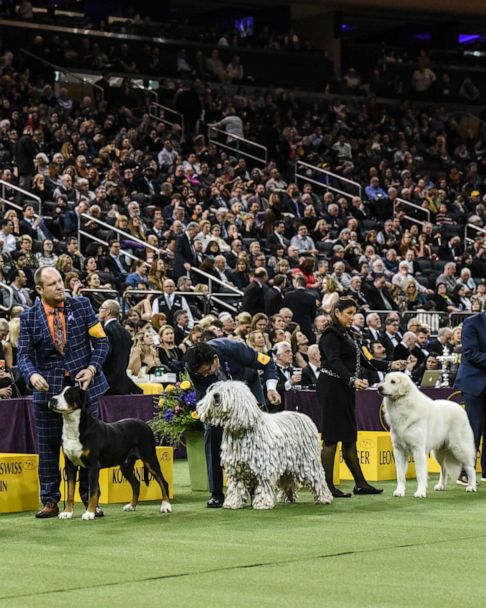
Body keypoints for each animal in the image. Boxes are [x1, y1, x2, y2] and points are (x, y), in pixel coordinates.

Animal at [49, 388, 171, 520]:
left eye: (69, 395)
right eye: (59, 392)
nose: (52, 400)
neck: (74, 428)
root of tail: (145, 424)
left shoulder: (93, 466)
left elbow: (93, 492)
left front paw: (89, 513)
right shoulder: (70, 466)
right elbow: (70, 492)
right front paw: (67, 512)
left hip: (149, 458)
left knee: (163, 482)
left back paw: (166, 506)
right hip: (126, 465)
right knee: (136, 484)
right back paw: (131, 506)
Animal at [196, 380, 332, 508]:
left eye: (228, 390)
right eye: (217, 389)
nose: (216, 395)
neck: (240, 430)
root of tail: (304, 417)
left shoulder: (263, 467)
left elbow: (263, 484)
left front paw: (262, 503)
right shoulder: (235, 467)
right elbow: (236, 486)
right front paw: (233, 503)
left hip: (308, 461)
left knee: (318, 479)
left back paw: (324, 498)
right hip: (289, 465)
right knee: (288, 481)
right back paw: (287, 498)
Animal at [378, 370, 476, 498]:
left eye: (393, 382)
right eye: (384, 380)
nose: (379, 387)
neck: (402, 406)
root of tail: (460, 408)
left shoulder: (418, 449)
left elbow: (420, 473)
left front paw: (420, 492)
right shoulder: (398, 450)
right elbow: (400, 475)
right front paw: (399, 491)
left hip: (459, 448)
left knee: (470, 467)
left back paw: (471, 486)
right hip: (439, 453)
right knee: (443, 468)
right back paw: (441, 486)